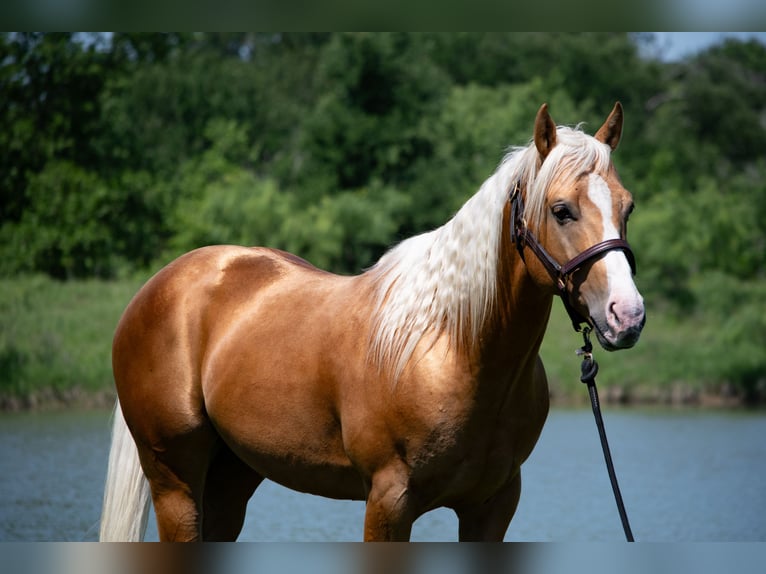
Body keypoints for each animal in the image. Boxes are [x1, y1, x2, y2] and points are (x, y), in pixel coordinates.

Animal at [99, 102, 645, 542]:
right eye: (561, 210)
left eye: (628, 206)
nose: (627, 314)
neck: (453, 350)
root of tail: (161, 285)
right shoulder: (388, 503)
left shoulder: (492, 507)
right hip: (174, 482)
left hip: (232, 477)